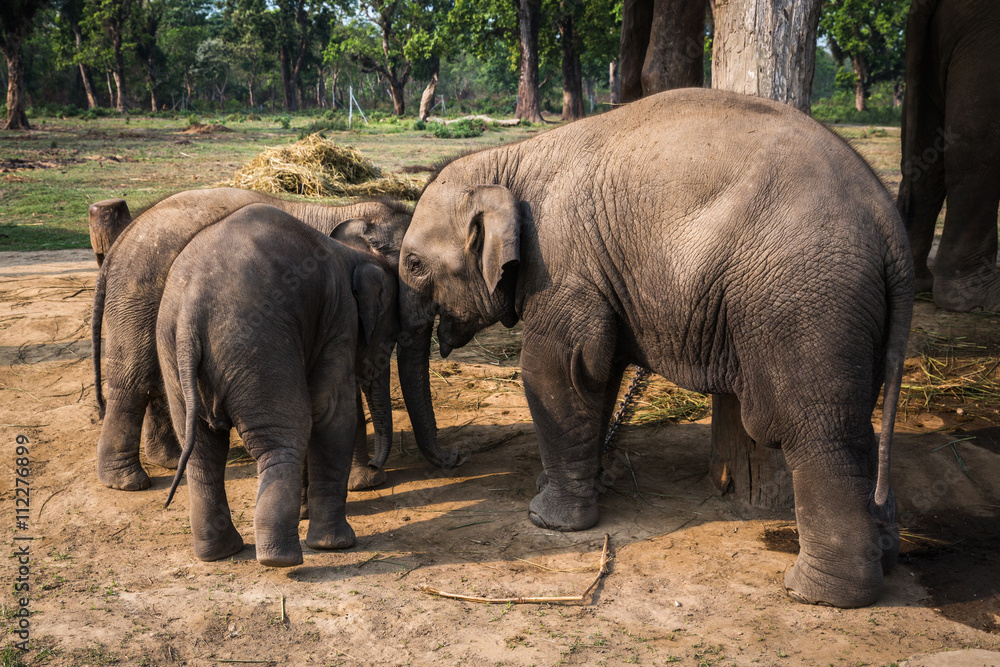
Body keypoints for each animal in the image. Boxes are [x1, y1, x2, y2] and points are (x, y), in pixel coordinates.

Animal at [91, 187, 460, 493]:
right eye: (416, 267)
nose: (456, 459)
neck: (355, 211)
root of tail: (119, 243)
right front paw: (365, 483)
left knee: (156, 383)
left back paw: (168, 459)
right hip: (139, 294)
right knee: (134, 381)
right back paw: (129, 482)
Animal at [159, 204, 398, 566]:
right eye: (393, 335)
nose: (374, 467)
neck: (350, 252)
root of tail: (190, 312)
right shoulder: (339, 316)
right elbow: (330, 413)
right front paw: (336, 544)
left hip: (173, 354)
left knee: (202, 449)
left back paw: (220, 552)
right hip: (257, 344)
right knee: (286, 436)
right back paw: (281, 558)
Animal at [396, 88, 913, 609]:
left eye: (414, 264)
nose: (455, 459)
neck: (510, 158)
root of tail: (890, 225)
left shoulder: (562, 269)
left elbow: (555, 370)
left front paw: (547, 517)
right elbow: (597, 376)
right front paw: (583, 485)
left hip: (803, 305)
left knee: (812, 430)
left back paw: (816, 593)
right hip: (850, 317)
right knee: (856, 427)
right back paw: (885, 557)